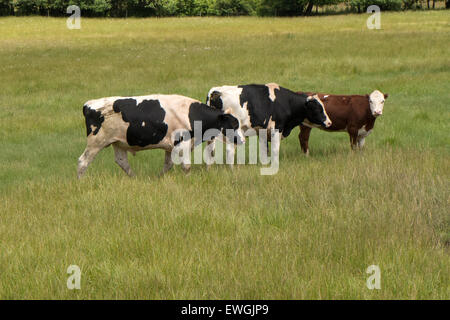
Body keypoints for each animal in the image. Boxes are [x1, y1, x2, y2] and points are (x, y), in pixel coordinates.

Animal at [78, 94, 244, 179]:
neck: (191, 113)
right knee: (82, 162)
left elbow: (168, 164)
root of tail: (89, 103)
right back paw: (81, 181)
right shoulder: (182, 142)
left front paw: (159, 178)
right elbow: (186, 166)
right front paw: (188, 180)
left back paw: (135, 178)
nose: (242, 140)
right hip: (95, 143)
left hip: (118, 143)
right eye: (234, 124)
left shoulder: (171, 146)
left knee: (122, 162)